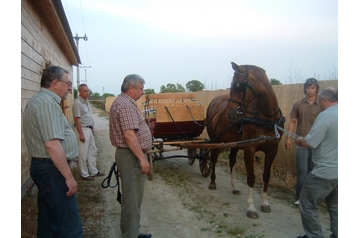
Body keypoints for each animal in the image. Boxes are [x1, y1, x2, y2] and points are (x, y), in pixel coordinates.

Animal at [207, 62, 286, 218]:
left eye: (238, 85)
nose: (229, 114)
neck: (266, 118)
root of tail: (214, 101)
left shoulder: (272, 149)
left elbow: (266, 175)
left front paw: (265, 203)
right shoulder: (250, 148)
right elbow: (251, 177)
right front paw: (251, 207)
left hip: (234, 143)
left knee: (232, 160)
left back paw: (235, 186)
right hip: (215, 139)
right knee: (213, 158)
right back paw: (212, 182)